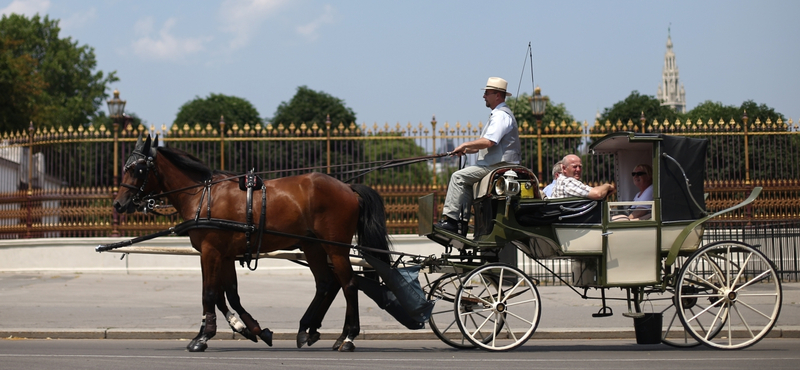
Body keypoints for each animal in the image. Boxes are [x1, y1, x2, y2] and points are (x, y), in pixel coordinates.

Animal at [113, 134, 394, 352]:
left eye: (138, 169)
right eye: (125, 166)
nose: (118, 204)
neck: (204, 194)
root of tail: (348, 188)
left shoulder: (210, 251)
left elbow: (209, 293)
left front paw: (202, 337)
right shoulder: (224, 255)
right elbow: (229, 295)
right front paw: (252, 329)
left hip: (335, 248)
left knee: (349, 284)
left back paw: (347, 337)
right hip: (313, 246)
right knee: (327, 284)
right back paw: (308, 329)